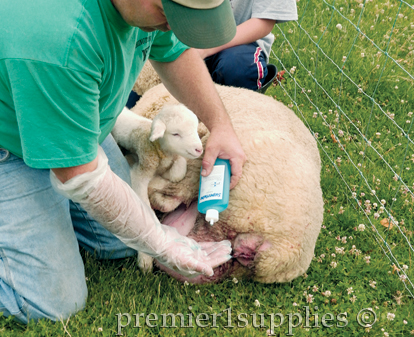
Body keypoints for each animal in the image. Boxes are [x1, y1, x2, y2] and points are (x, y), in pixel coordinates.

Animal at [111, 104, 204, 270]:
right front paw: (145, 258)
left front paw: (172, 174)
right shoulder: (141, 173)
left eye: (195, 128)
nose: (199, 149)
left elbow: (178, 171)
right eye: (175, 134)